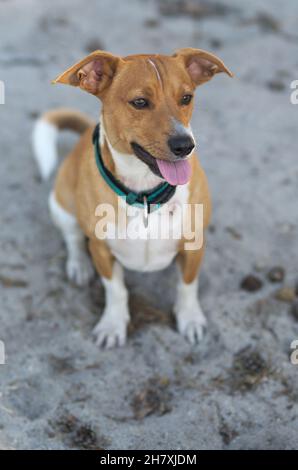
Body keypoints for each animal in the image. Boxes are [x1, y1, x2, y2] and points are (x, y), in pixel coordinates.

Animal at [33, 48, 233, 348]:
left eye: (186, 98)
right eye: (140, 102)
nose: (185, 145)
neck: (146, 193)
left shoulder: (194, 245)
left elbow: (187, 286)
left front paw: (190, 318)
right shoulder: (102, 251)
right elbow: (116, 290)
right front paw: (113, 324)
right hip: (62, 206)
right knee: (73, 239)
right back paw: (79, 265)